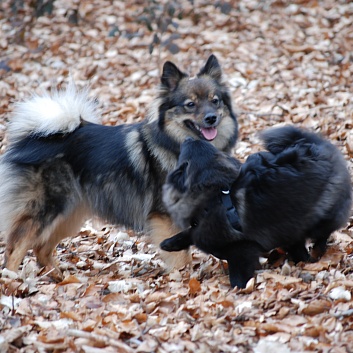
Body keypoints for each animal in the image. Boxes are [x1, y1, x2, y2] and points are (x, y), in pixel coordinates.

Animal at [0, 54, 238, 278]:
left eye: (215, 101)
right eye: (190, 104)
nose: (211, 118)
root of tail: (34, 137)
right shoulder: (165, 216)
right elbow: (179, 255)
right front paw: (184, 276)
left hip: (69, 214)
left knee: (41, 249)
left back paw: (57, 276)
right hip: (47, 208)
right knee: (15, 247)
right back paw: (13, 281)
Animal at [161, 125, 350, 288]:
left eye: (186, 150)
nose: (187, 138)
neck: (215, 197)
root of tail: (317, 146)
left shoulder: (242, 249)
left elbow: (237, 274)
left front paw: (240, 287)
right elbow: (189, 233)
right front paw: (169, 243)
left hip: (318, 217)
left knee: (323, 234)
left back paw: (317, 251)